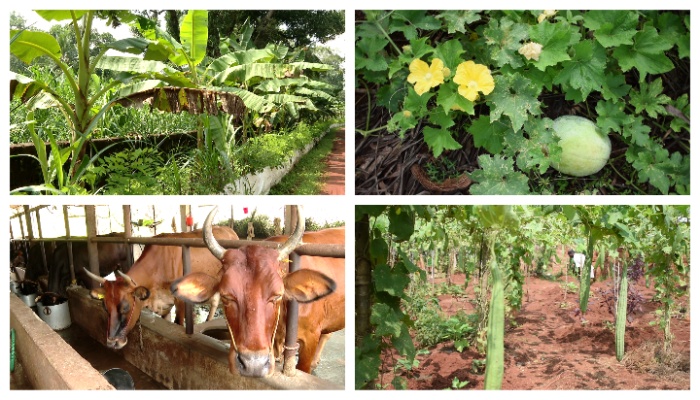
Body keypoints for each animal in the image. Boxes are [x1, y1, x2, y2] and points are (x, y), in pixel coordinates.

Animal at [84, 227, 238, 348]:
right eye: (105, 306)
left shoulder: (180, 302)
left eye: (126, 307)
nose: (111, 342)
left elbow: (178, 324)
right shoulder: (164, 304)